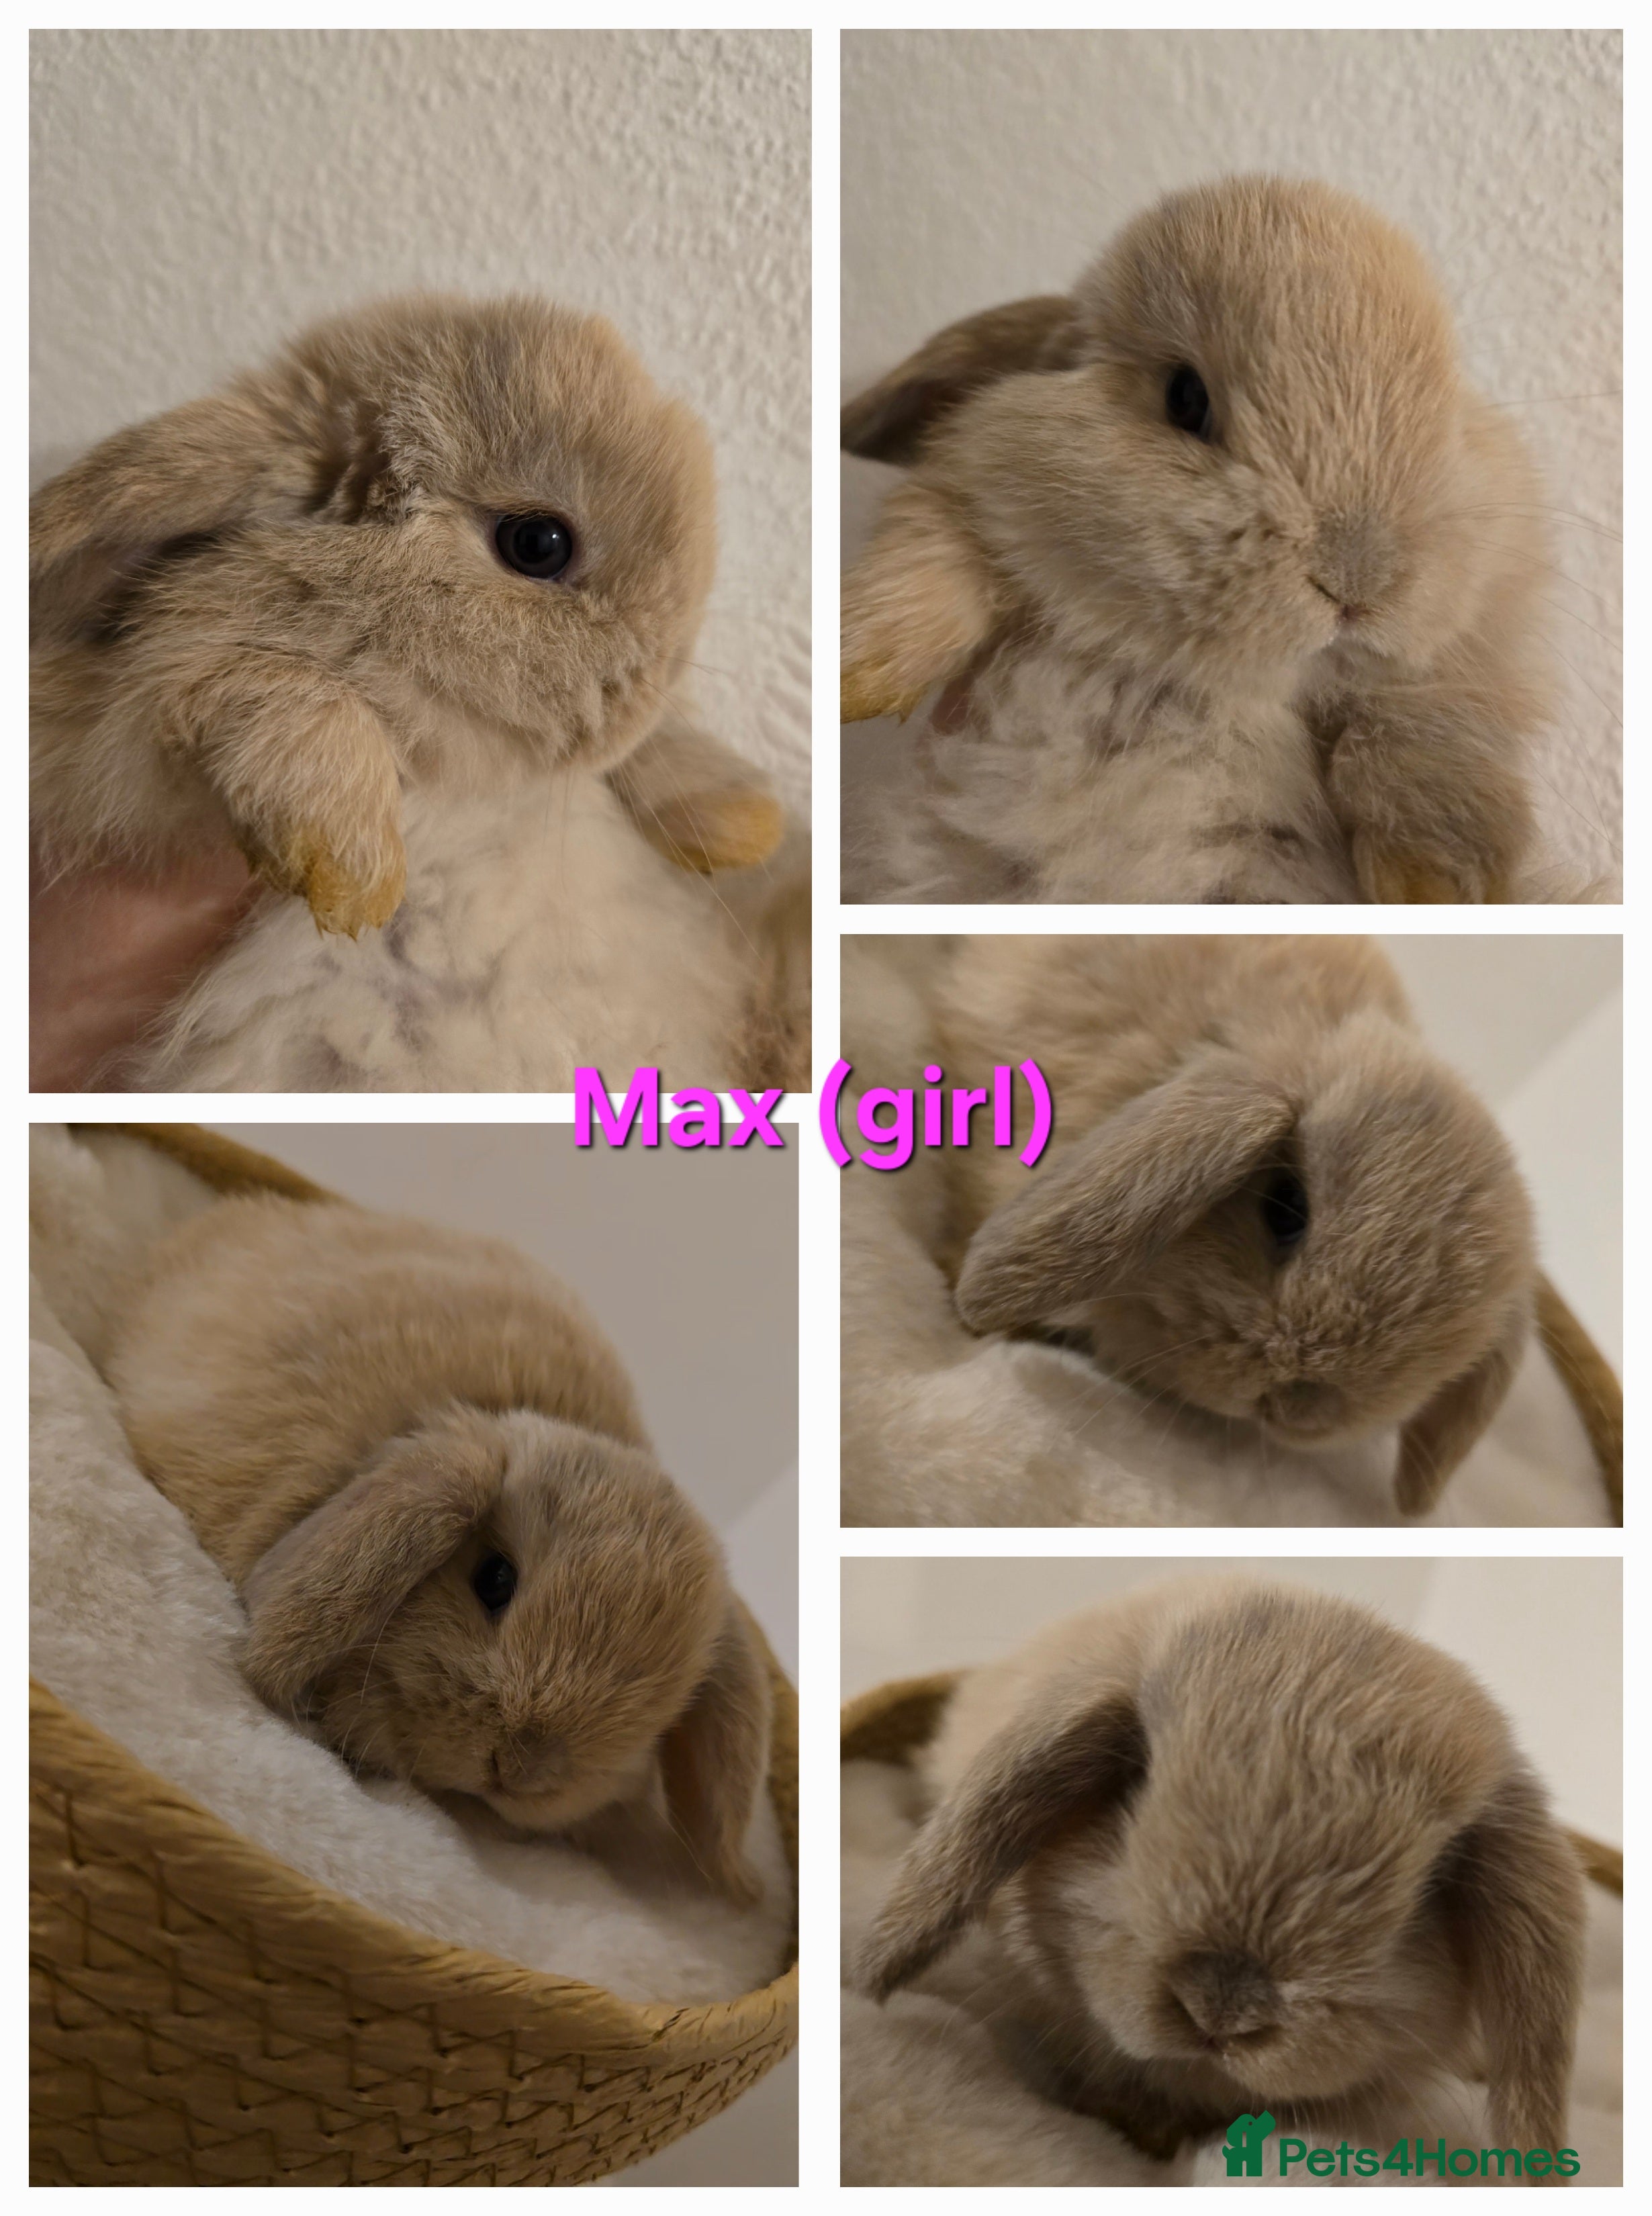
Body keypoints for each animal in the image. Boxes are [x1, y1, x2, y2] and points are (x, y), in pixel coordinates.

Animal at [31, 293, 806, 1090]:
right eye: (538, 545)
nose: (661, 675)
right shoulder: (123, 750)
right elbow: (283, 686)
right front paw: (349, 867)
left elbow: (655, 758)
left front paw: (745, 823)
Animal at [841, 175, 1551, 905]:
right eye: (1185, 399)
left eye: (1450, 412)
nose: (1358, 582)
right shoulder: (966, 496)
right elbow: (927, 560)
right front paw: (857, 679)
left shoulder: (1462, 667)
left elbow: (1427, 738)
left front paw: (1428, 885)